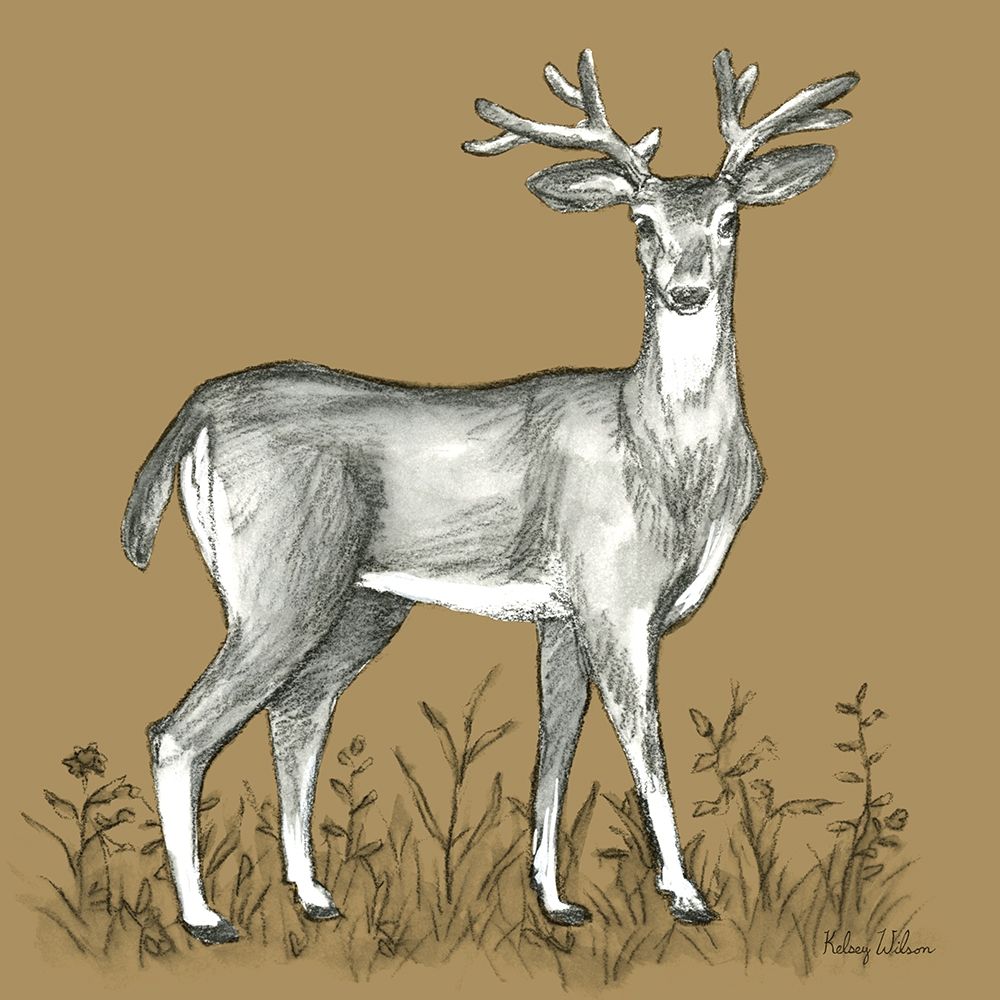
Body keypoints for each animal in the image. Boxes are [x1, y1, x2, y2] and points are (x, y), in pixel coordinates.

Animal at [121, 49, 858, 944]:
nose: (685, 290)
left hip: (361, 602)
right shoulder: (613, 596)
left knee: (295, 712)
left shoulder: (562, 615)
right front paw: (685, 893)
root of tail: (200, 408)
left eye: (729, 221)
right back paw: (205, 916)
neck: (668, 461)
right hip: (279, 581)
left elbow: (555, 752)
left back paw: (316, 895)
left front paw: (556, 900)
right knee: (179, 731)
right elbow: (643, 743)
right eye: (641, 222)